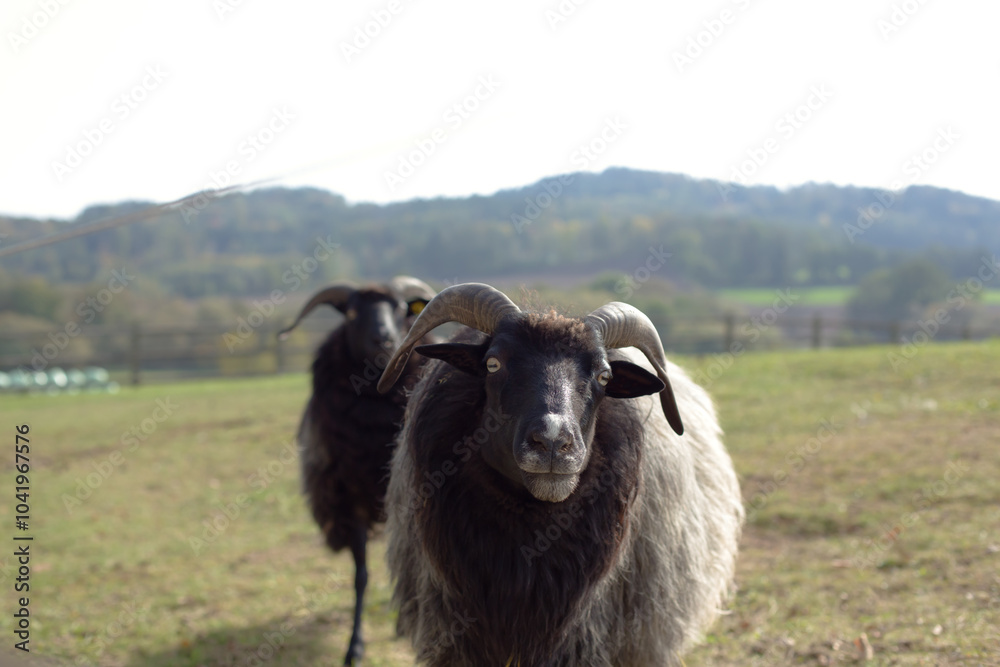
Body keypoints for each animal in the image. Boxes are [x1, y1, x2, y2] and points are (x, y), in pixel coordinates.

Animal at [278, 276, 437, 666]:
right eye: (351, 312)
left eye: (401, 308)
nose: (384, 339)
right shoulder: (350, 502)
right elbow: (361, 575)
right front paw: (354, 645)